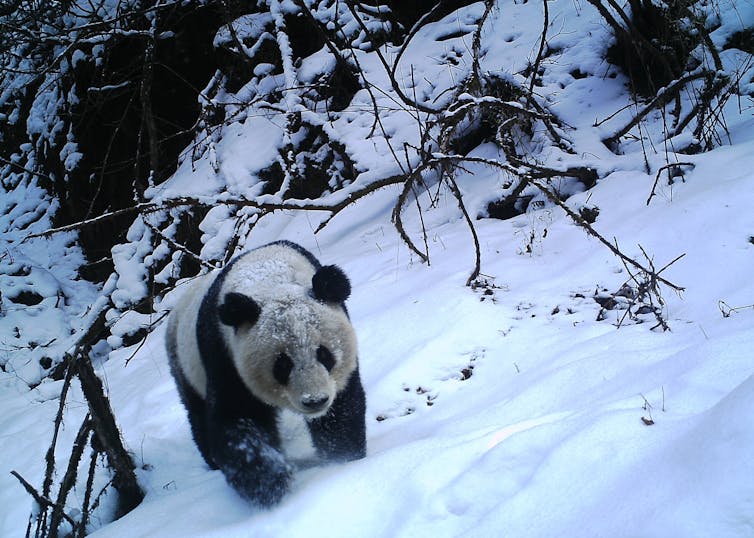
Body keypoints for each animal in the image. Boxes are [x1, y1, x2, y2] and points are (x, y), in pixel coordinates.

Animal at [164, 241, 364, 504]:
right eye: (283, 365)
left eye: (324, 354)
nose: (315, 401)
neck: (268, 275)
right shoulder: (223, 354)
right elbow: (237, 418)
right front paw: (269, 482)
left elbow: (340, 409)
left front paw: (342, 459)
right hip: (184, 365)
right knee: (196, 414)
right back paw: (212, 462)